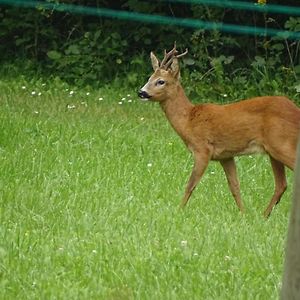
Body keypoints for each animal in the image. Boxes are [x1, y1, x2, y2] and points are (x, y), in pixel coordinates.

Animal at [138, 44, 300, 218]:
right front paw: (243, 214)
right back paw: (264, 216)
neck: (189, 120)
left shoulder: (203, 149)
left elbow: (190, 185)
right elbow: (234, 186)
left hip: (281, 143)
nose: (141, 92)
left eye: (161, 81)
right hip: (273, 150)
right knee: (281, 184)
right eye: (149, 78)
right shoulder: (226, 155)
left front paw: (178, 211)